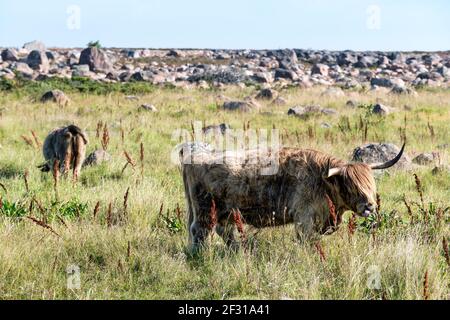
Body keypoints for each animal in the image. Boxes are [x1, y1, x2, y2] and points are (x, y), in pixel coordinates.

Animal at [181, 142, 406, 250]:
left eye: (371, 185)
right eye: (351, 186)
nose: (369, 206)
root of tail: (194, 157)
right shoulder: (304, 217)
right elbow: (306, 240)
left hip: (225, 213)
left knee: (223, 231)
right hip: (205, 210)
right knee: (199, 231)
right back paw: (200, 255)